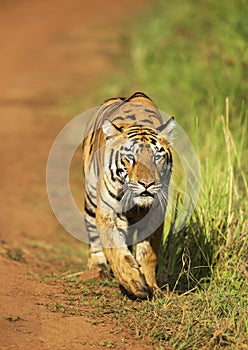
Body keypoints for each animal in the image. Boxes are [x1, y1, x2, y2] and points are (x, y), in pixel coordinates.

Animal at [82, 91, 174, 298]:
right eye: (131, 157)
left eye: (157, 157)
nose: (147, 184)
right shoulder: (108, 211)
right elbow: (115, 248)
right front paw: (133, 283)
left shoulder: (156, 212)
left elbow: (148, 253)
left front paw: (151, 286)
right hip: (91, 199)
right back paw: (97, 268)